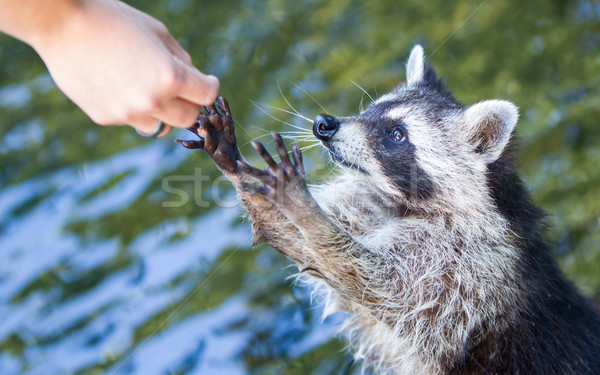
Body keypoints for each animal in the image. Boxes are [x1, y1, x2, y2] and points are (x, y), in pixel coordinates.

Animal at [178, 45, 600, 374]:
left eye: (397, 135)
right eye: (370, 109)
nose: (324, 124)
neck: (403, 204)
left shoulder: (468, 270)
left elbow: (380, 286)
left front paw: (303, 210)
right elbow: (305, 251)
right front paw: (240, 171)